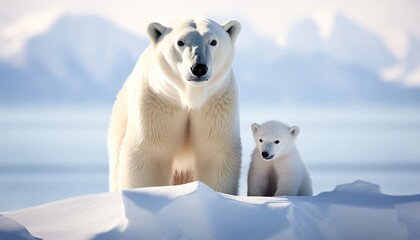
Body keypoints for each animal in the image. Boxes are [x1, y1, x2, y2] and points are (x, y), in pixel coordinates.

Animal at [106, 15, 241, 194]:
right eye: (180, 42)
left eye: (213, 41)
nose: (198, 68)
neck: (190, 96)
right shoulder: (158, 102)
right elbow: (151, 153)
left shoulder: (215, 105)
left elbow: (215, 153)